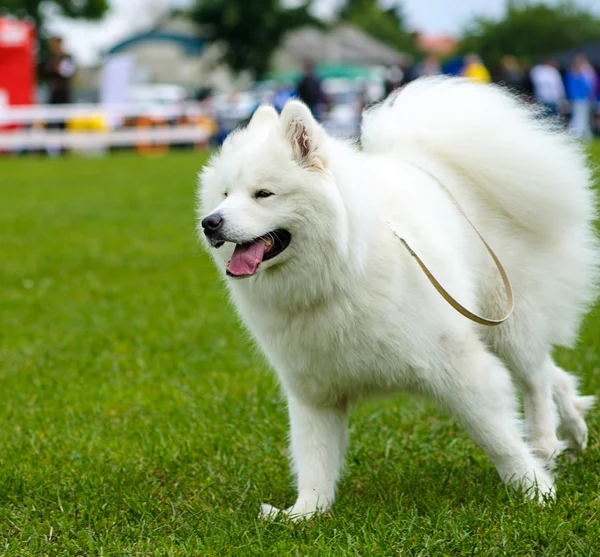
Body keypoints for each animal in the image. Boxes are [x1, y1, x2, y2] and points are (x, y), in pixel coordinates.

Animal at [196, 76, 596, 520]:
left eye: (263, 194)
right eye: (224, 194)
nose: (210, 223)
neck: (342, 271)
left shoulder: (459, 365)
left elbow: (498, 437)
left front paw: (535, 492)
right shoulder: (313, 389)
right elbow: (314, 456)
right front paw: (305, 514)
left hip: (507, 321)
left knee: (535, 377)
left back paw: (543, 441)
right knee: (553, 372)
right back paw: (572, 428)